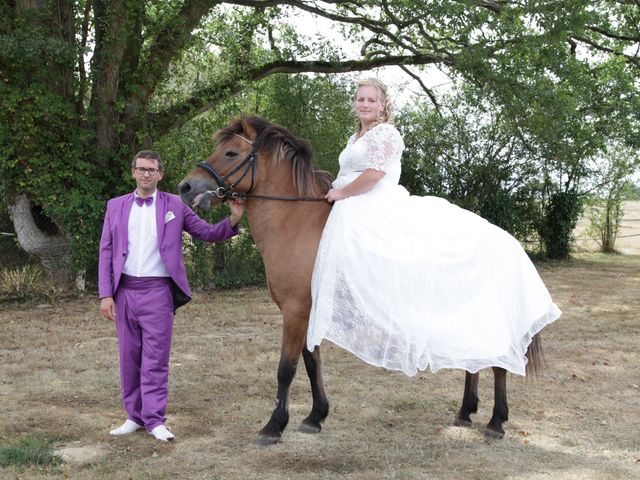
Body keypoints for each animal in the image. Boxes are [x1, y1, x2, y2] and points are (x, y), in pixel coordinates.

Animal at [178, 115, 544, 446]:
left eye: (230, 153)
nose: (185, 187)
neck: (298, 224)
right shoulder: (309, 311)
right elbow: (312, 362)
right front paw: (315, 417)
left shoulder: (295, 311)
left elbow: (286, 368)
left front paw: (273, 427)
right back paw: (466, 413)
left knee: (498, 363)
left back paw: (496, 423)